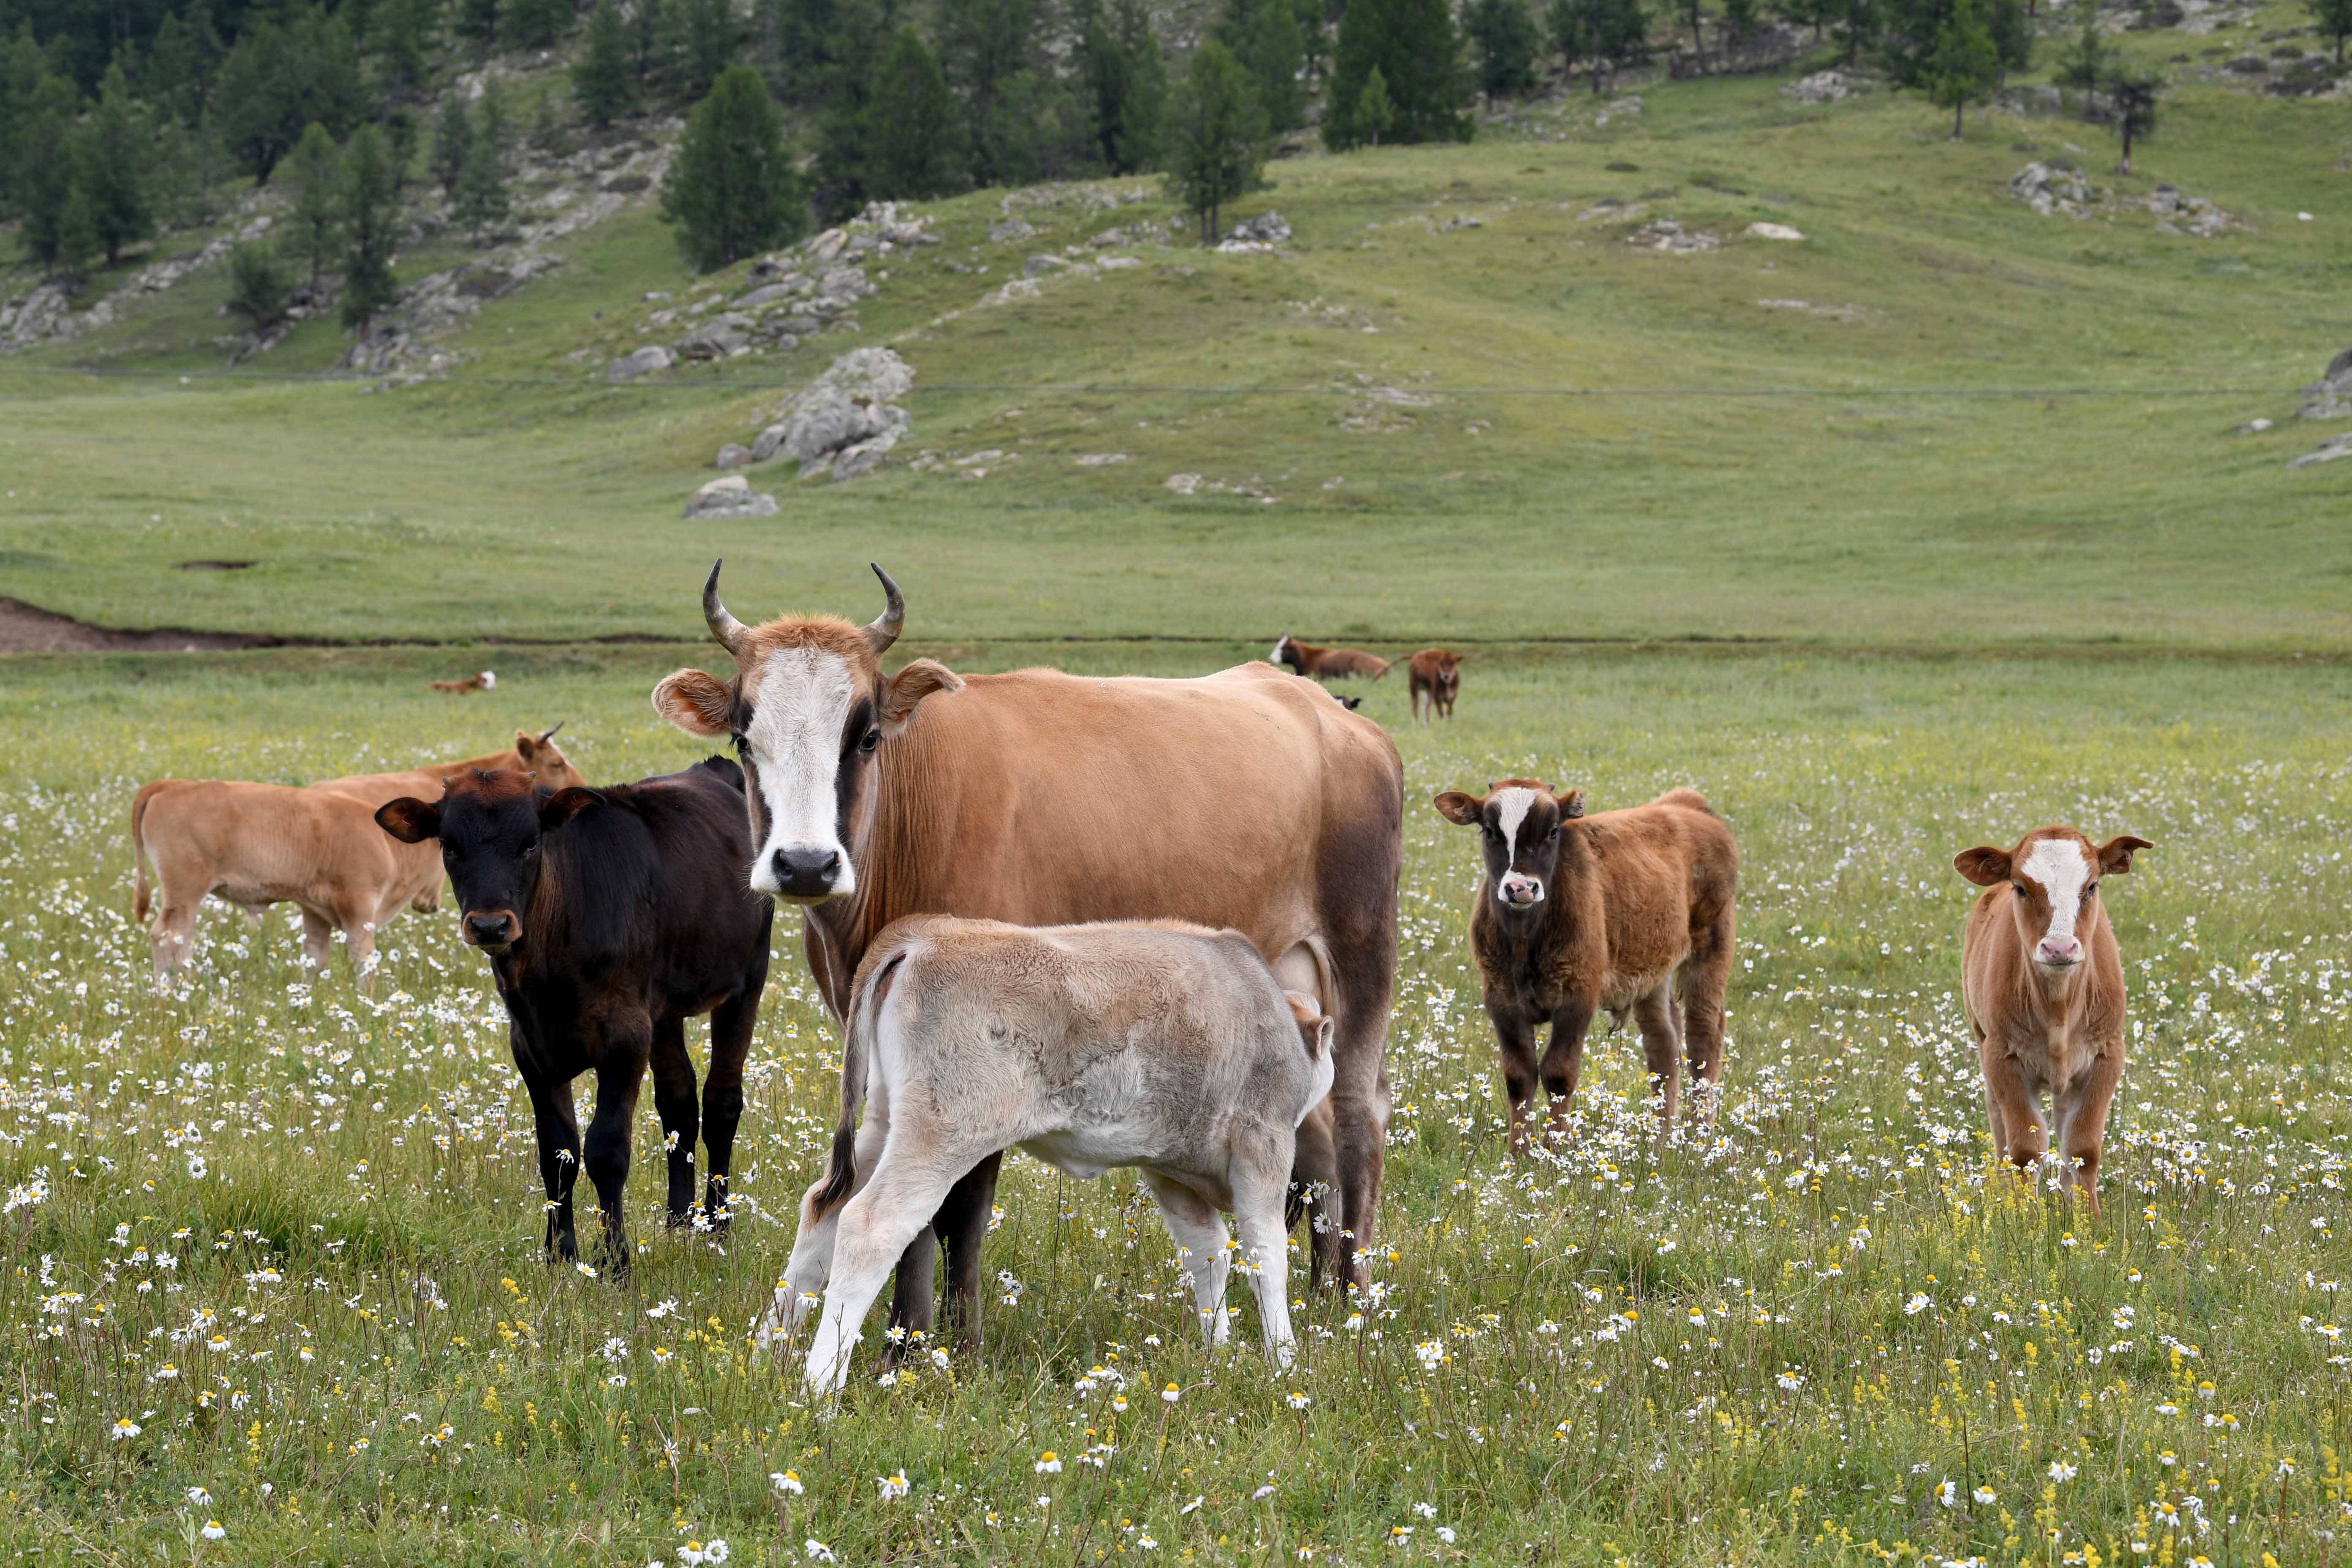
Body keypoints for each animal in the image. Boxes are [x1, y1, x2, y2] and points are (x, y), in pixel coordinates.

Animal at [371, 762, 767, 1279]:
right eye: (450, 846)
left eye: (530, 843)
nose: (490, 925)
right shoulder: (531, 1049)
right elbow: (557, 1153)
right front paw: (559, 1254)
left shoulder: (624, 1039)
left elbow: (606, 1150)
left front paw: (615, 1261)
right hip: (663, 1010)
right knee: (678, 1100)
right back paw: (681, 1220)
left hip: (746, 983)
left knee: (722, 1101)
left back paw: (718, 1222)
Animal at [767, 921, 1336, 1401]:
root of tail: (925, 935)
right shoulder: (1264, 1143)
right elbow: (1267, 1256)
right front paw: (1284, 1361)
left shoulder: (1169, 1169)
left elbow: (1208, 1254)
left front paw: (1219, 1350)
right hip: (940, 1134)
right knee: (870, 1226)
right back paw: (819, 1389)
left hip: (884, 1122)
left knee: (822, 1213)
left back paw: (768, 1353)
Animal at [1421, 785, 1740, 1152]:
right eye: (1489, 831)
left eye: (1552, 832)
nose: (1520, 888)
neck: (1526, 940)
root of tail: (1688, 805)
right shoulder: (1500, 999)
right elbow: (1519, 1075)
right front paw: (1518, 1154)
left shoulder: (1578, 997)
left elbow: (1558, 1074)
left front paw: (1554, 1151)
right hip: (1651, 970)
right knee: (1663, 1043)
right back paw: (1661, 1141)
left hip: (1711, 948)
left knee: (1703, 1038)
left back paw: (1700, 1138)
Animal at [1947, 827, 2154, 1213]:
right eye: (2021, 888)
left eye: (2091, 886)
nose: (2060, 949)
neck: (2059, 1009)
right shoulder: (2002, 1056)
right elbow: (2025, 1151)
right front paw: (2024, 1218)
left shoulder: (2108, 1053)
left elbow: (2083, 1147)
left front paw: (2089, 1219)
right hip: (1982, 1039)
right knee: (2000, 1124)